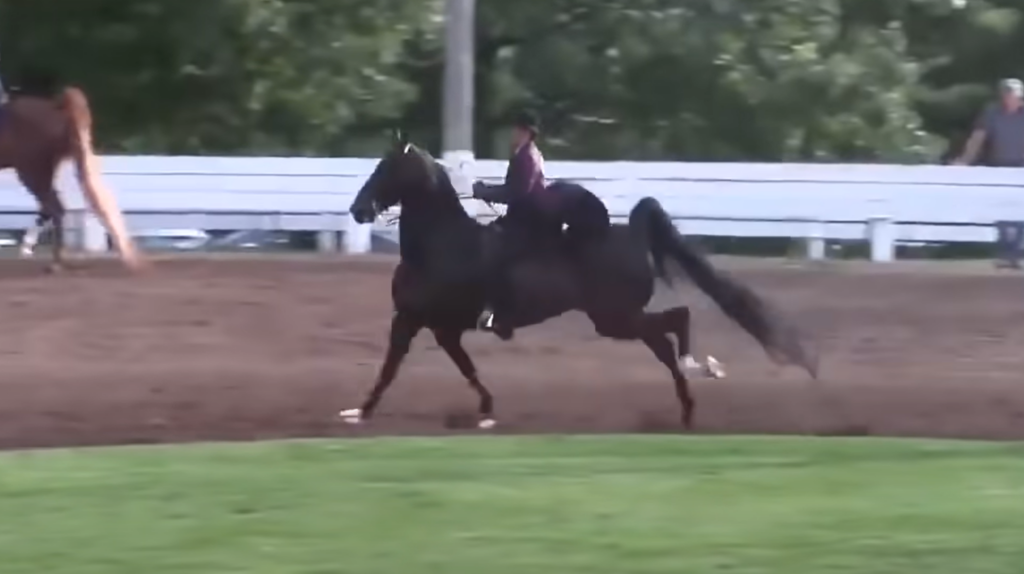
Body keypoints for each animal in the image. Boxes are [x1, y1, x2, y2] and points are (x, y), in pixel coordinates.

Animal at [0, 86, 141, 272]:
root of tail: (56, 108)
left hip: (32, 171)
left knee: (55, 208)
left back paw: (54, 262)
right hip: (42, 172)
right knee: (50, 208)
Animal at [340, 132, 817, 429]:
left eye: (386, 169)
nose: (357, 210)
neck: (441, 246)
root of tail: (631, 232)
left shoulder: (416, 320)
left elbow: (391, 368)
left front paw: (360, 413)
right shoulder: (436, 327)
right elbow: (461, 368)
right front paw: (486, 411)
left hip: (616, 319)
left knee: (675, 324)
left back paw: (700, 370)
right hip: (620, 319)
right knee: (664, 340)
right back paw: (686, 407)